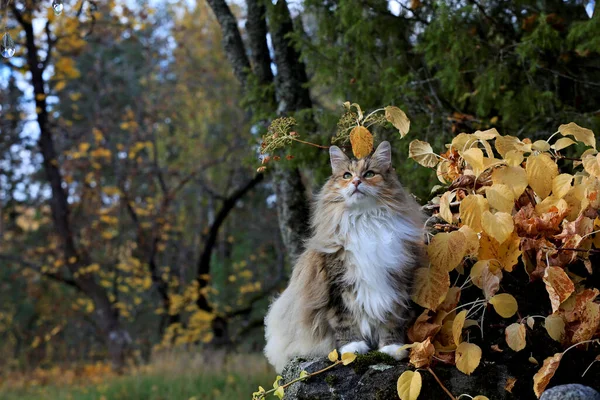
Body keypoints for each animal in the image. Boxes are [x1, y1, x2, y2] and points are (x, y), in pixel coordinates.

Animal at [264, 141, 426, 372]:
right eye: (347, 175)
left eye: (369, 174)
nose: (357, 181)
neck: (365, 220)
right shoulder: (335, 287)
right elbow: (344, 322)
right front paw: (353, 348)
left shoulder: (395, 283)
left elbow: (391, 321)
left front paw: (392, 348)